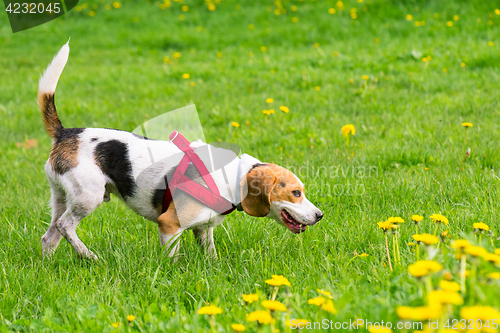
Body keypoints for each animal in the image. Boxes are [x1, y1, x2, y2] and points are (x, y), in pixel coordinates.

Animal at [39, 42, 324, 260]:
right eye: (295, 193)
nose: (320, 215)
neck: (233, 177)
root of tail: (66, 133)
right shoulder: (169, 225)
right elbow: (172, 259)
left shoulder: (204, 229)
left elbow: (211, 255)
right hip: (88, 197)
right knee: (65, 226)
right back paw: (89, 256)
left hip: (62, 197)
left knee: (49, 236)